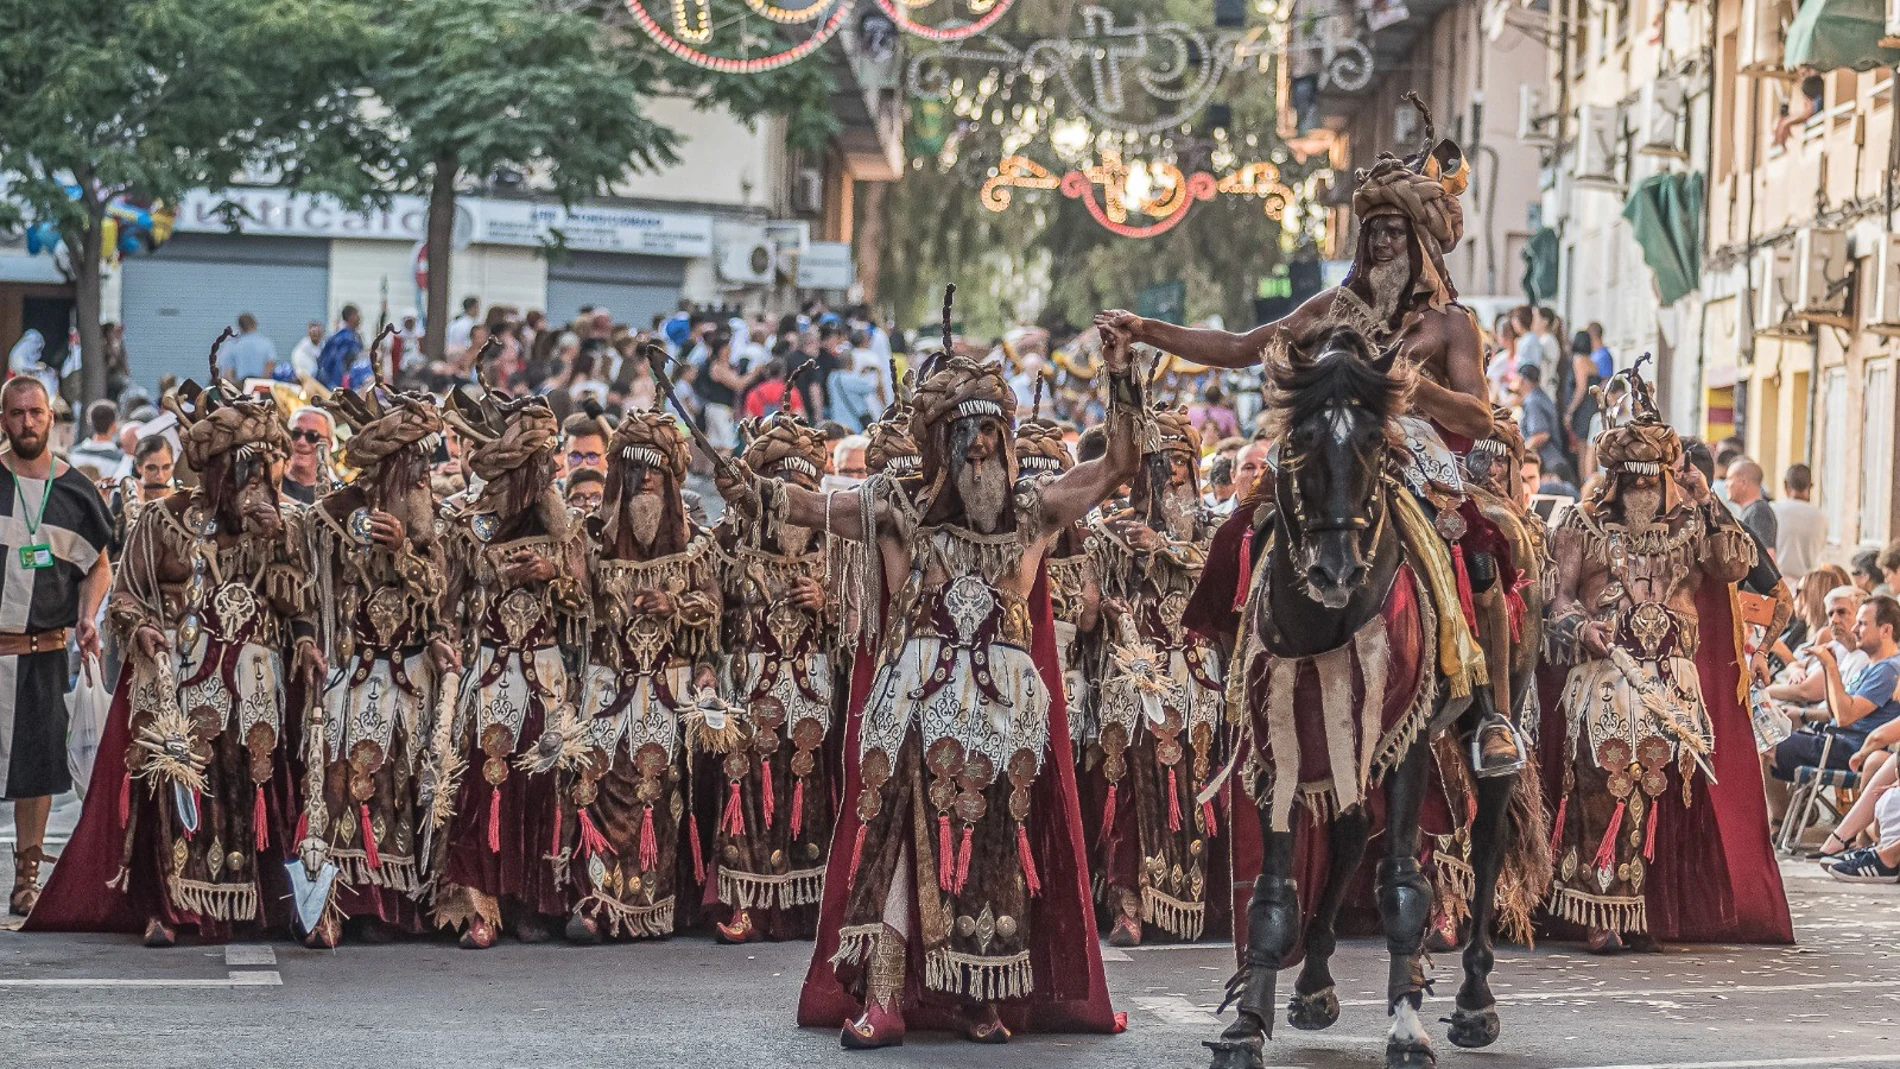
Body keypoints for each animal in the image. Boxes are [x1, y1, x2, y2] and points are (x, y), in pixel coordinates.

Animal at [1208, 328, 1520, 1069]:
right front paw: (1248, 1023)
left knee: (1488, 835)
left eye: (1378, 444)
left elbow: (1403, 884)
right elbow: (1273, 896)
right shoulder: (1280, 746)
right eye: (1298, 440)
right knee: (1350, 835)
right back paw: (1314, 982)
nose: (1336, 568)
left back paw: (1475, 1001)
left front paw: (1406, 1025)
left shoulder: (1405, 740)